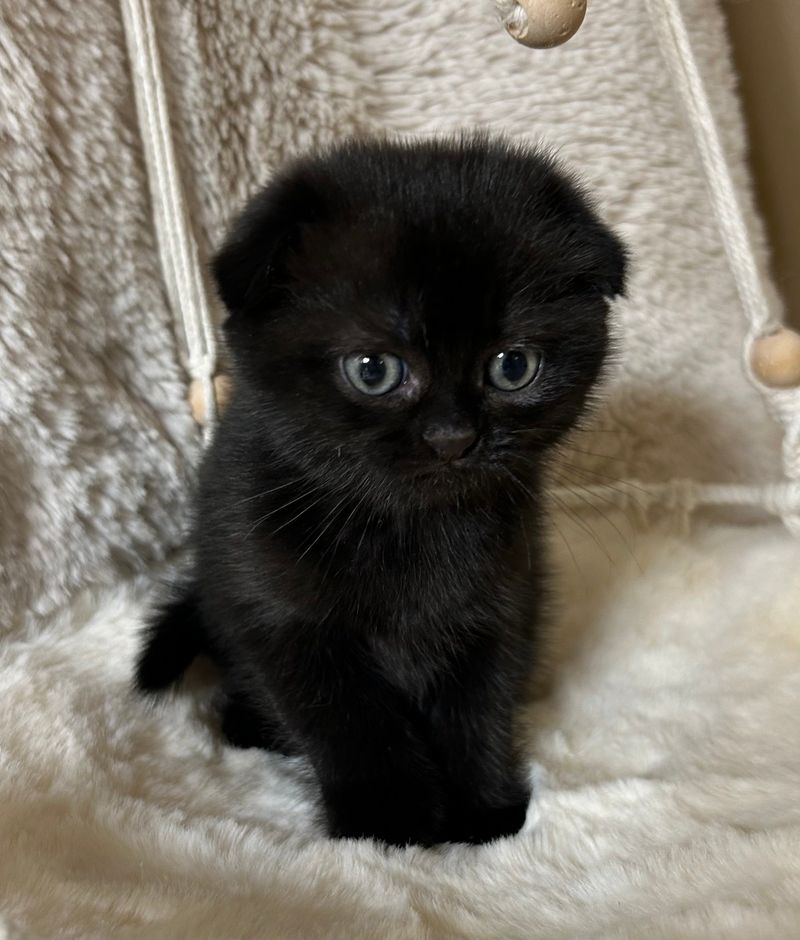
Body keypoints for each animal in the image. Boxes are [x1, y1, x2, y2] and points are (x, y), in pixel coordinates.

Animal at [136, 136, 624, 848]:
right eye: (374, 370)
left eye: (513, 366)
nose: (453, 437)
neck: (405, 529)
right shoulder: (281, 617)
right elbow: (351, 723)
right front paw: (390, 826)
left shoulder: (501, 605)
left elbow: (479, 710)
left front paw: (482, 815)